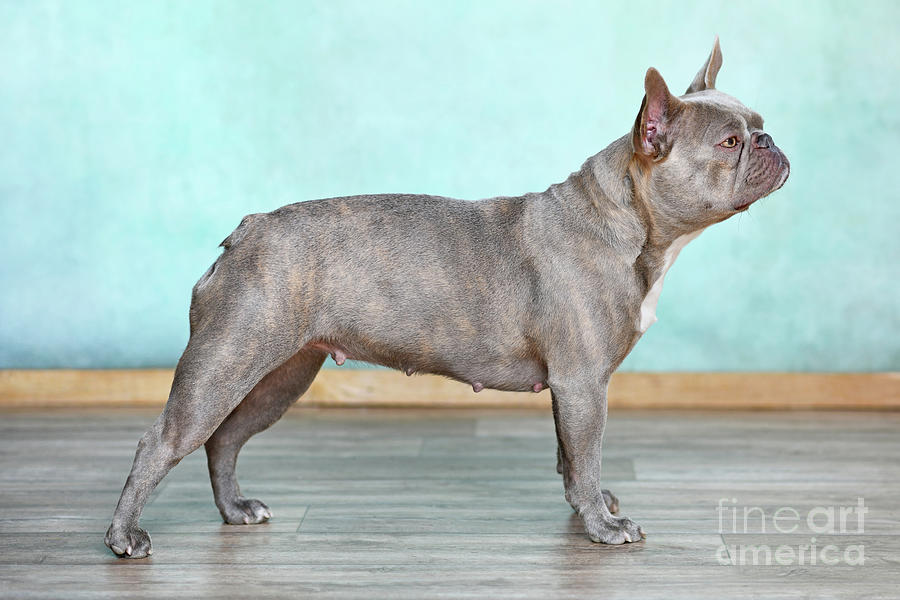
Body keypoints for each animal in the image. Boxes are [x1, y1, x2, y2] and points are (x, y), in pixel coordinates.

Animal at [105, 39, 788, 556]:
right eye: (730, 143)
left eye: (756, 126)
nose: (771, 141)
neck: (628, 222)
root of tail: (248, 230)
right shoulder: (584, 383)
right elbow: (587, 453)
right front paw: (603, 525)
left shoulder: (572, 390)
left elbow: (571, 457)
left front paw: (587, 506)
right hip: (227, 361)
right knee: (163, 441)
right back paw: (124, 536)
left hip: (280, 375)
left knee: (224, 439)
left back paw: (234, 509)